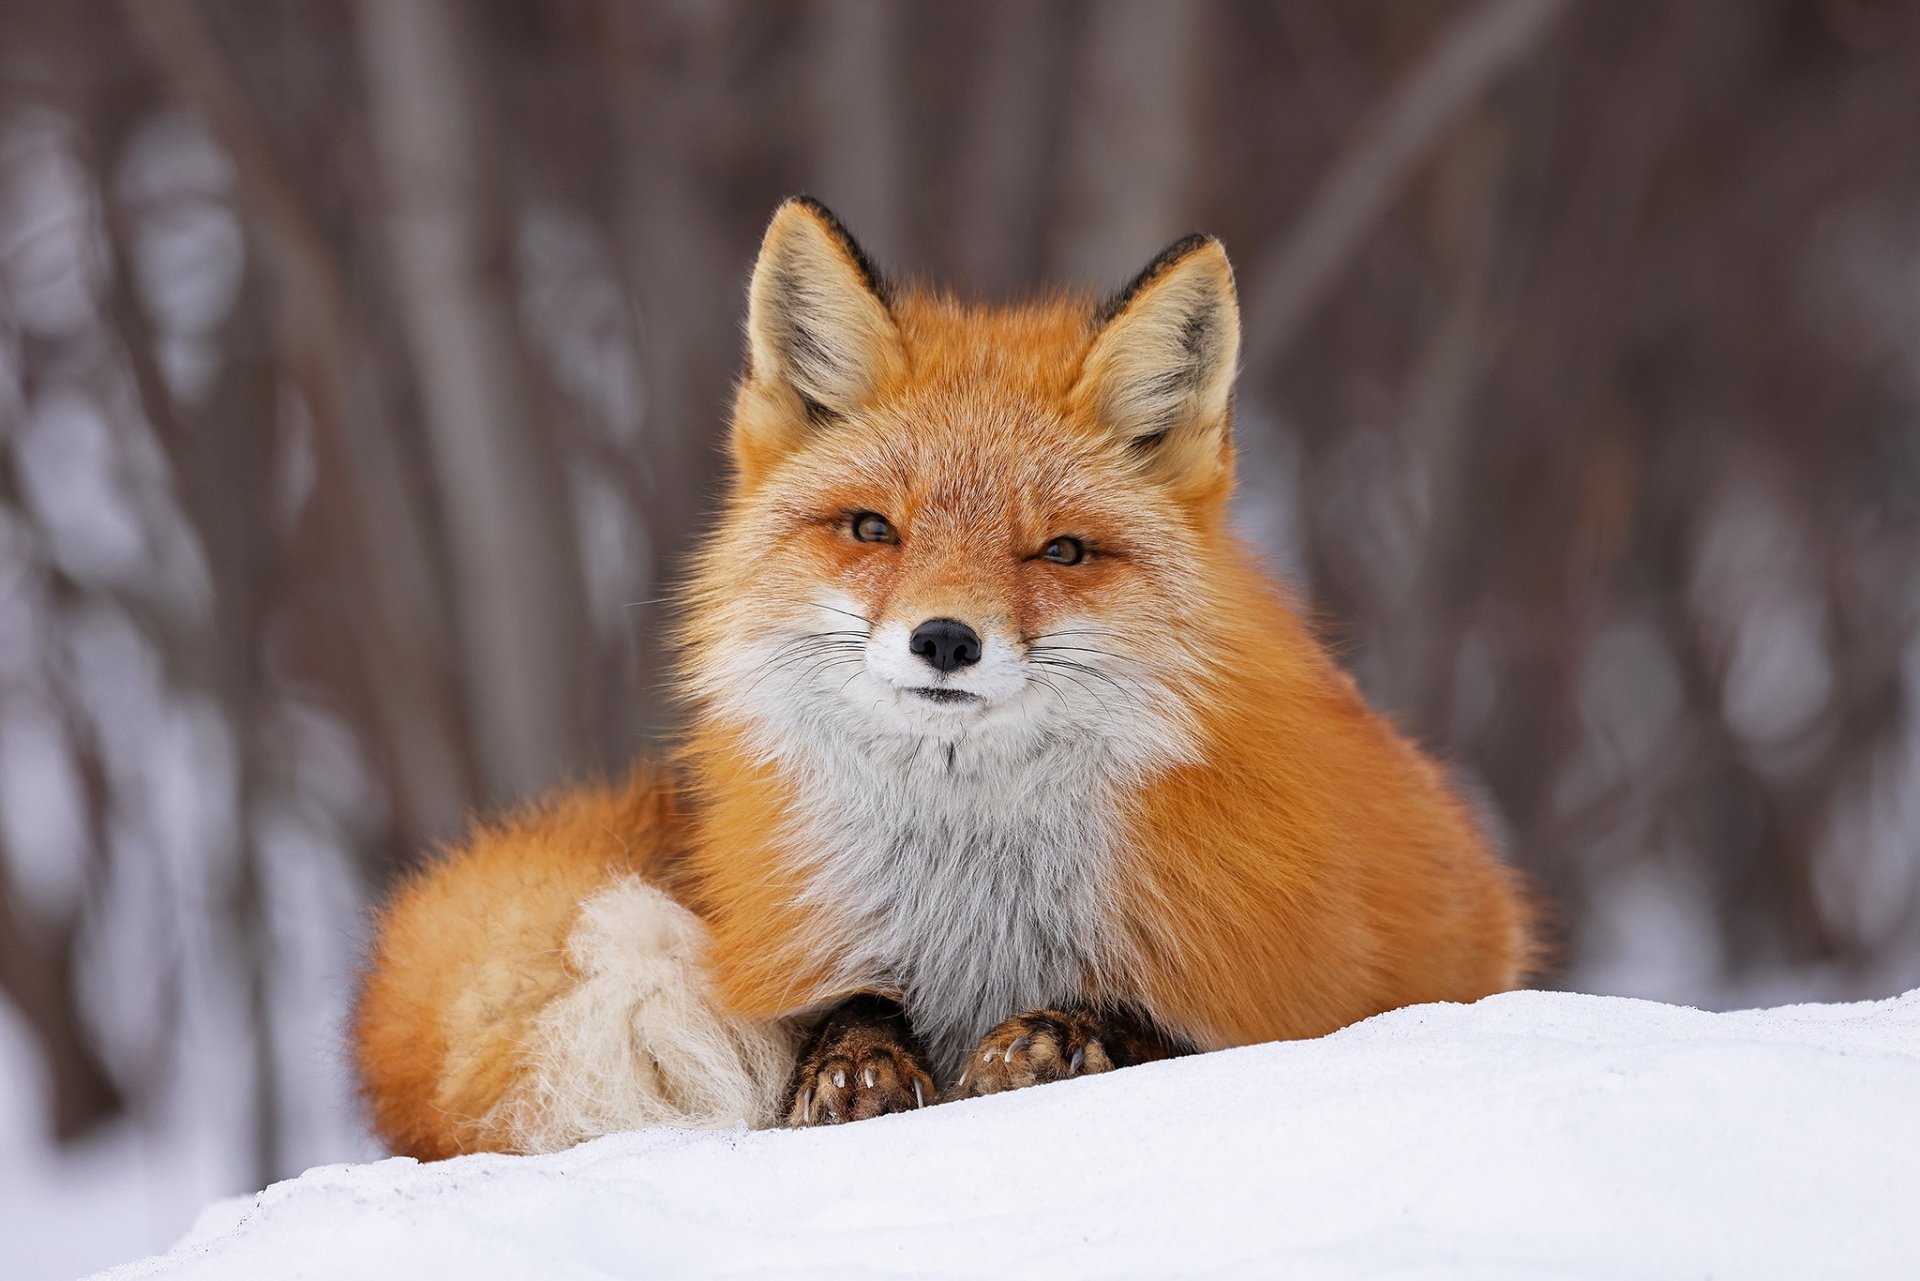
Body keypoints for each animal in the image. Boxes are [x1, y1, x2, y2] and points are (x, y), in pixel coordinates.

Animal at [353, 196, 1539, 1158]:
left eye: (1059, 551)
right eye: (875, 529)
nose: (945, 640)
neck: (973, 905)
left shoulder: (1288, 997)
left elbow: (1153, 1030)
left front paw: (1051, 1042)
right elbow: (843, 1014)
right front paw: (856, 1063)